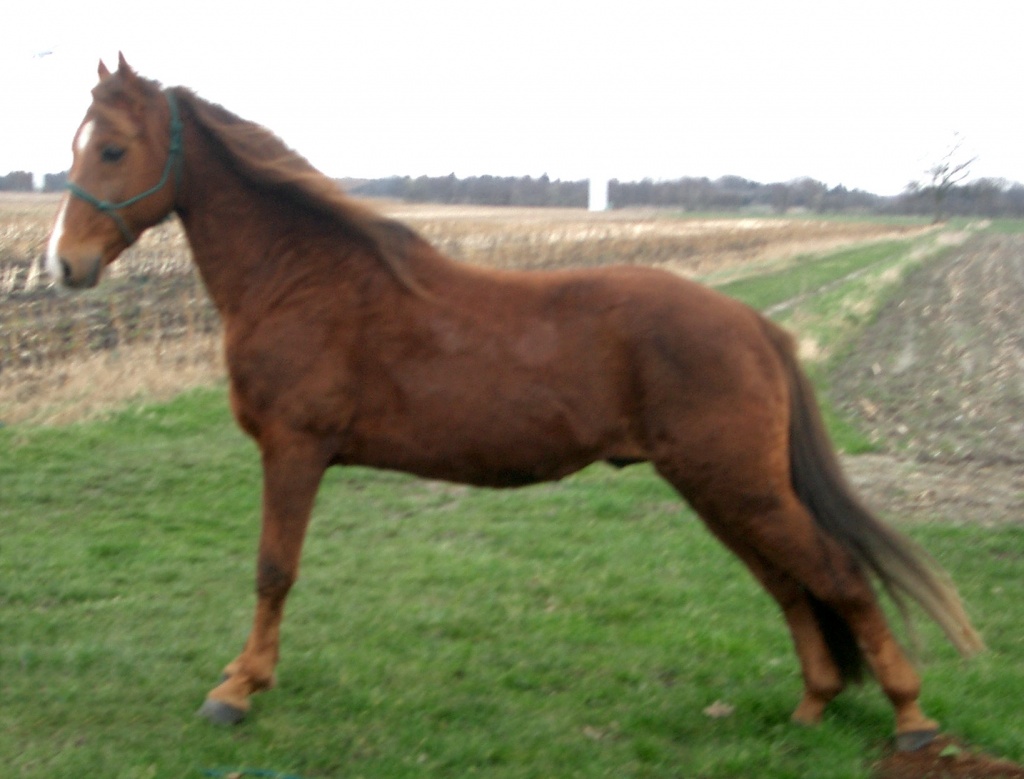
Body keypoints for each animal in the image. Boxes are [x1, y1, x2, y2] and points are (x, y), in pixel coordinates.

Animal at [47, 54, 982, 751]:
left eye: (114, 150)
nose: (64, 264)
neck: (304, 277)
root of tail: (756, 325)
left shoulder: (295, 448)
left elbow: (273, 569)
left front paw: (238, 688)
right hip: (720, 487)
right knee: (791, 584)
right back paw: (815, 703)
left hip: (737, 482)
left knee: (837, 572)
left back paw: (911, 717)